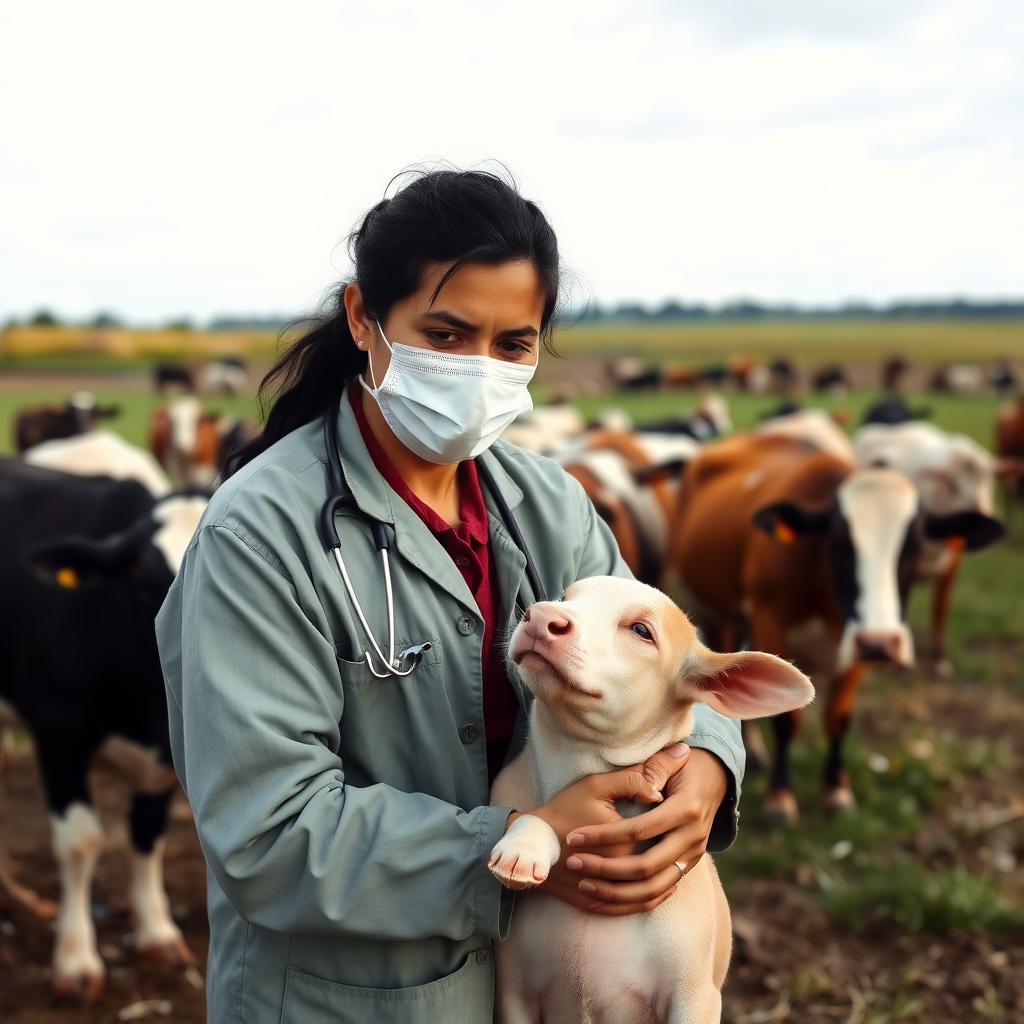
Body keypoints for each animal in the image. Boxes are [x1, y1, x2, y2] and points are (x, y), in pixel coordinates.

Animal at [0, 458, 207, 999]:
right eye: (143, 579)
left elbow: (148, 833)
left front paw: (157, 934)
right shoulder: (58, 734)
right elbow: (81, 842)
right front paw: (75, 961)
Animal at [671, 432, 999, 823]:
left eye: (916, 546)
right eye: (839, 543)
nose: (882, 643)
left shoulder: (855, 645)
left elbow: (838, 718)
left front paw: (837, 790)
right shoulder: (770, 623)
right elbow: (785, 721)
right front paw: (779, 797)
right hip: (714, 611)